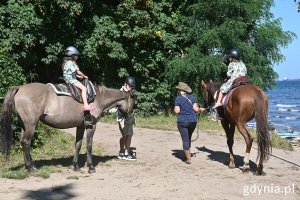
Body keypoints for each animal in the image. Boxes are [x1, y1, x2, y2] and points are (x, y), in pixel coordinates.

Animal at [0, 82, 134, 173]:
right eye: (134, 101)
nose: (129, 117)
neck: (98, 98)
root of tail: (20, 88)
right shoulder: (91, 126)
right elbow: (89, 145)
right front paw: (91, 167)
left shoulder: (80, 126)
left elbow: (78, 145)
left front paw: (76, 166)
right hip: (30, 124)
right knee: (26, 142)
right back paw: (31, 167)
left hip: (25, 125)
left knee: (23, 142)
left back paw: (29, 165)